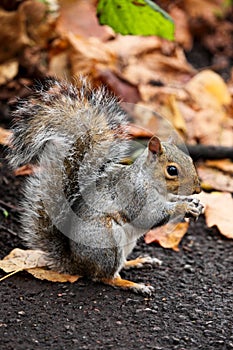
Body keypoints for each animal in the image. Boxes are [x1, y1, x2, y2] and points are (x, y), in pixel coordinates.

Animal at [8, 77, 202, 296]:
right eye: (172, 170)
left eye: (190, 159)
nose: (197, 189)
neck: (151, 182)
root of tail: (76, 264)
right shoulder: (134, 194)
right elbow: (148, 216)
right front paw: (184, 206)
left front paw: (193, 203)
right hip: (107, 242)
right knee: (105, 277)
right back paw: (134, 285)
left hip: (126, 245)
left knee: (117, 266)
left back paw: (137, 262)